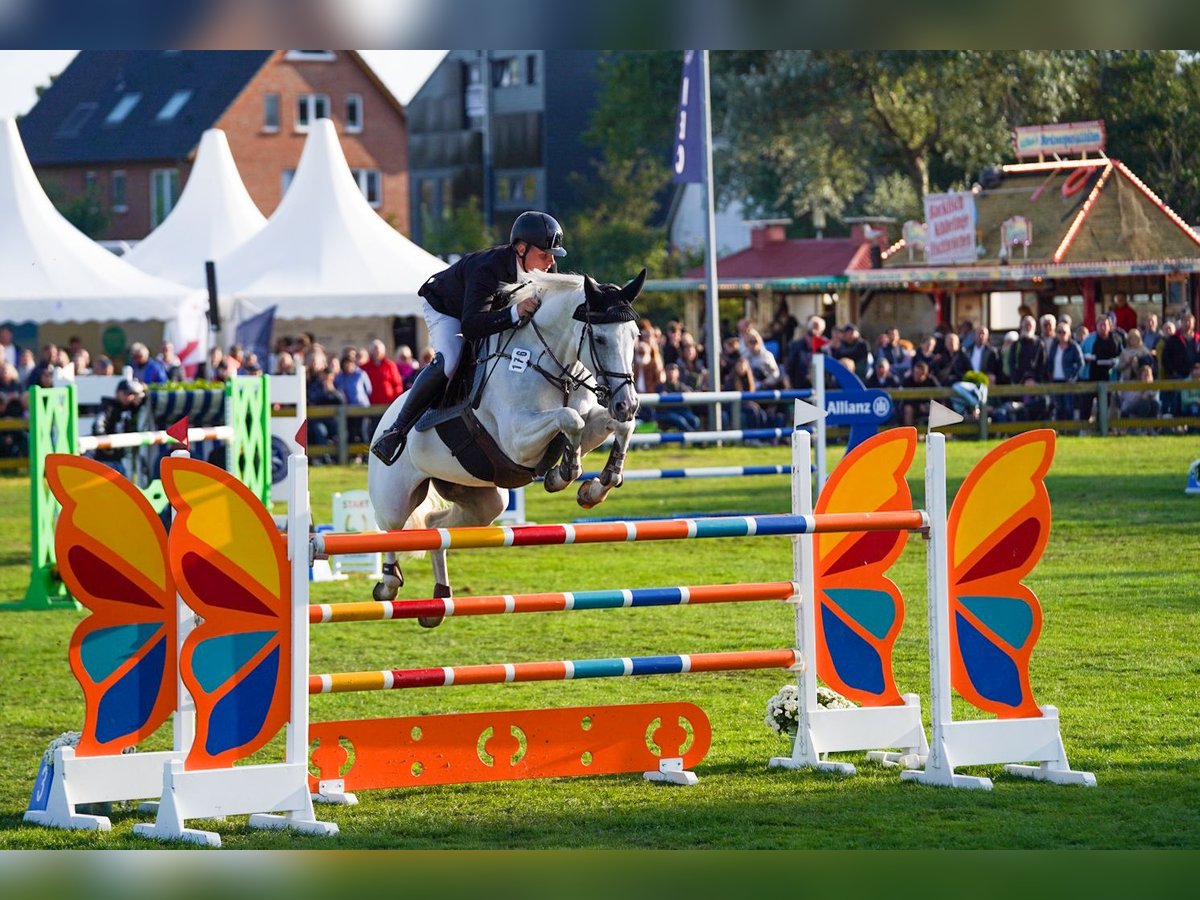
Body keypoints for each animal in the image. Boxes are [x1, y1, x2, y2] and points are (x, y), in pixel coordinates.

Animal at [367, 267, 643, 619]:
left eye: (634, 335)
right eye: (600, 338)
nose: (627, 402)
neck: (550, 364)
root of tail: (383, 421)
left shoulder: (592, 421)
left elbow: (614, 426)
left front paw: (596, 486)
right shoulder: (517, 440)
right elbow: (569, 419)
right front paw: (562, 474)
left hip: (482, 500)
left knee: (435, 526)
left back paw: (438, 599)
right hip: (396, 497)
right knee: (390, 530)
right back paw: (388, 583)